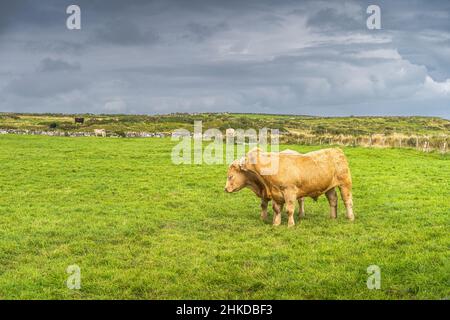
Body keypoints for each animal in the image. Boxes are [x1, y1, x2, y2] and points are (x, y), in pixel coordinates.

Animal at [225, 146, 356, 226]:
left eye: (230, 176)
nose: (225, 189)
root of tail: (336, 149)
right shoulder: (276, 193)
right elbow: (276, 209)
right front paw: (276, 224)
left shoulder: (290, 191)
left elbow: (289, 209)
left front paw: (290, 224)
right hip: (329, 187)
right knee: (333, 200)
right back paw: (333, 217)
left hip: (345, 183)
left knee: (347, 201)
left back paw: (350, 217)